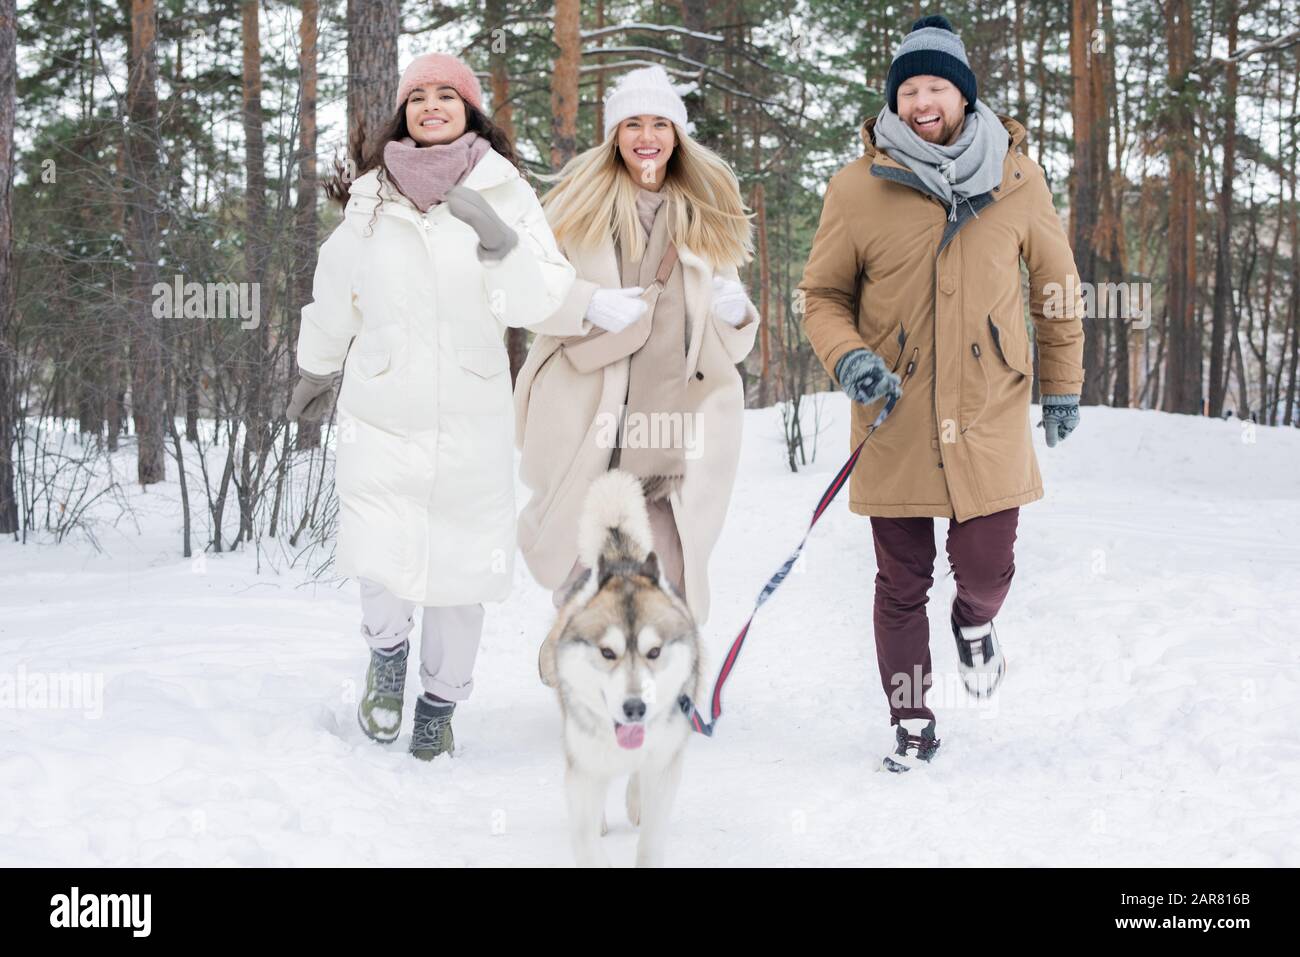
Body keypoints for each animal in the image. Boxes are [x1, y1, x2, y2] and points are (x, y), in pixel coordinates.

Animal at [538, 470, 702, 868]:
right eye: (607, 652)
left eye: (654, 651)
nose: (634, 708)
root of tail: (621, 557)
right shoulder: (583, 771)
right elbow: (586, 840)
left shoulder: (664, 763)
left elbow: (651, 840)